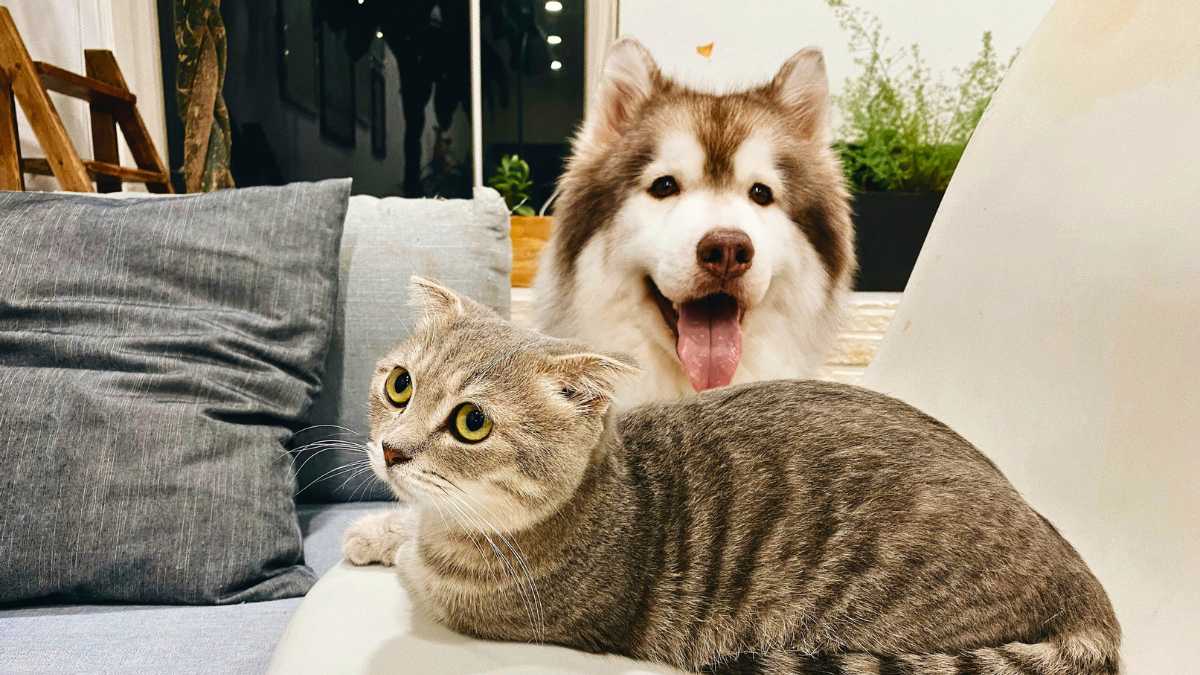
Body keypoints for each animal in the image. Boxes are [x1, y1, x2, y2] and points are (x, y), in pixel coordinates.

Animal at [343, 275, 1118, 672]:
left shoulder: (478, 608)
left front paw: (393, 539)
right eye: (401, 385)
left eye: (471, 423)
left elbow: (419, 563)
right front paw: (375, 528)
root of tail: (1083, 584)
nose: (393, 450)